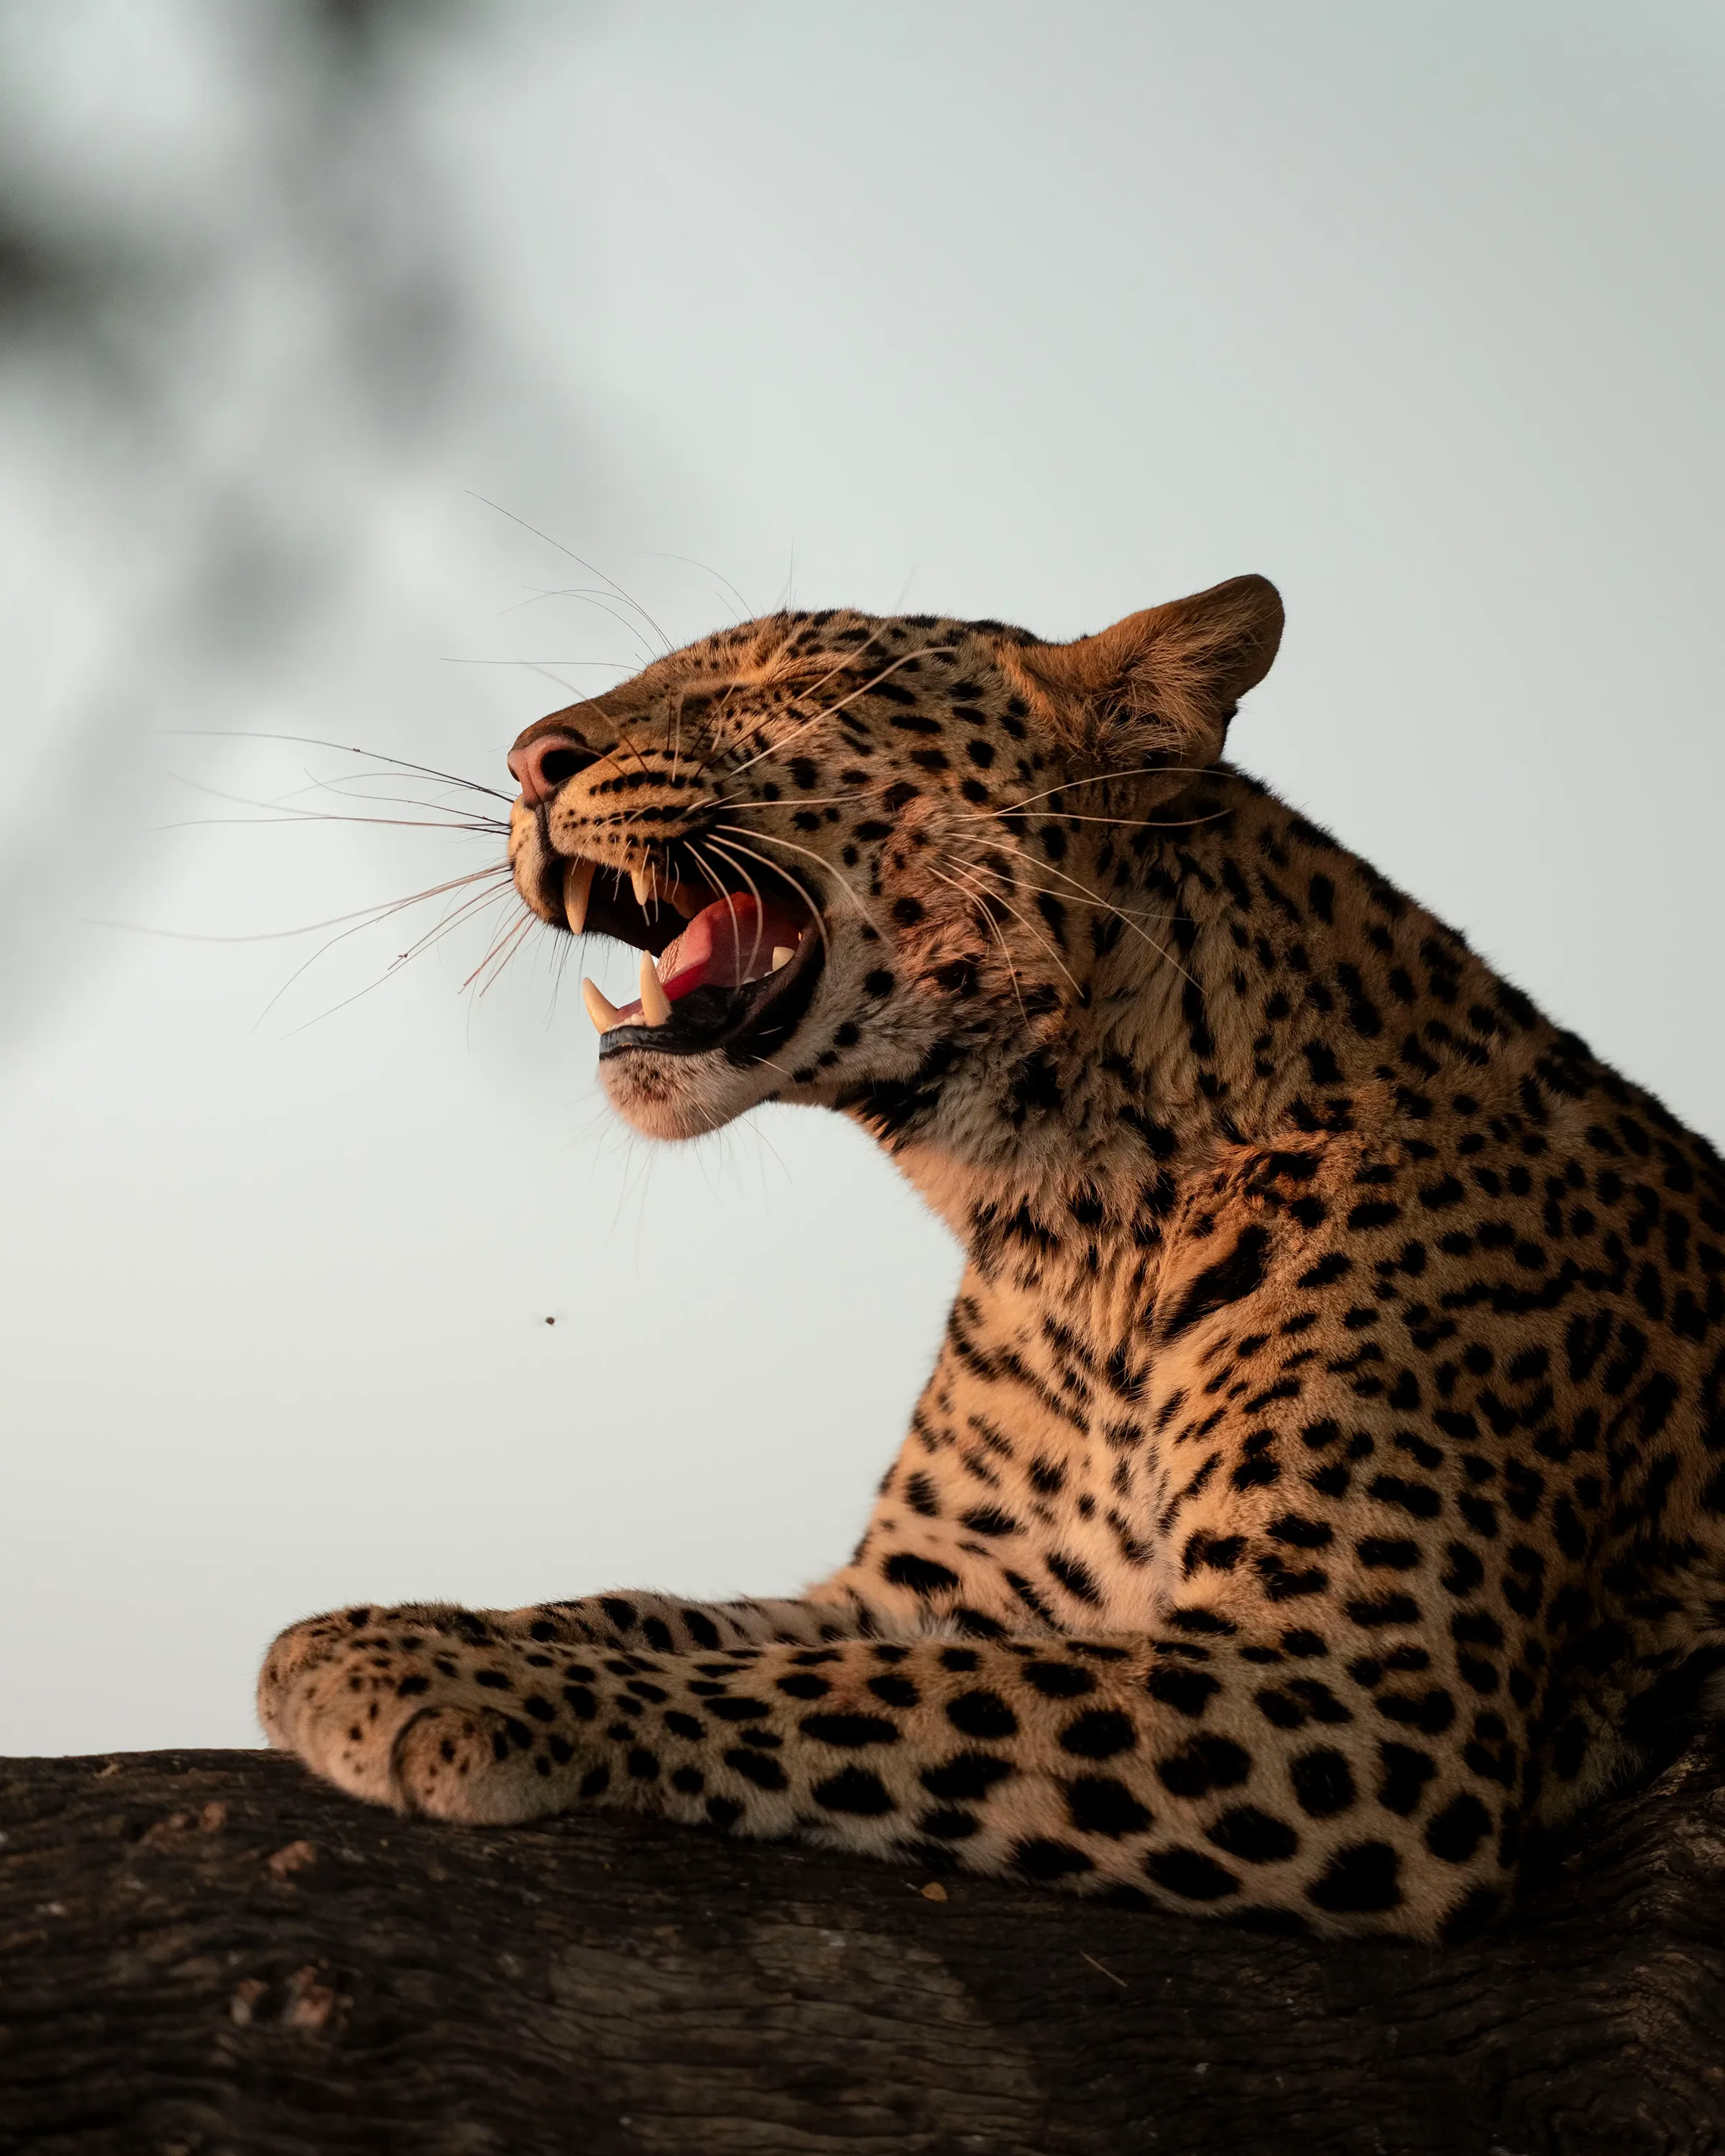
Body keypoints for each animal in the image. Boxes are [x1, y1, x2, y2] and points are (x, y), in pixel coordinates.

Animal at [260, 573, 1725, 1942]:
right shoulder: (932, 1587)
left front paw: (436, 1680)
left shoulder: (1360, 1678)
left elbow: (849, 1694)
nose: (527, 760)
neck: (1059, 1215)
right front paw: (402, 1630)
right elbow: (671, 1618)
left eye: (791, 681)